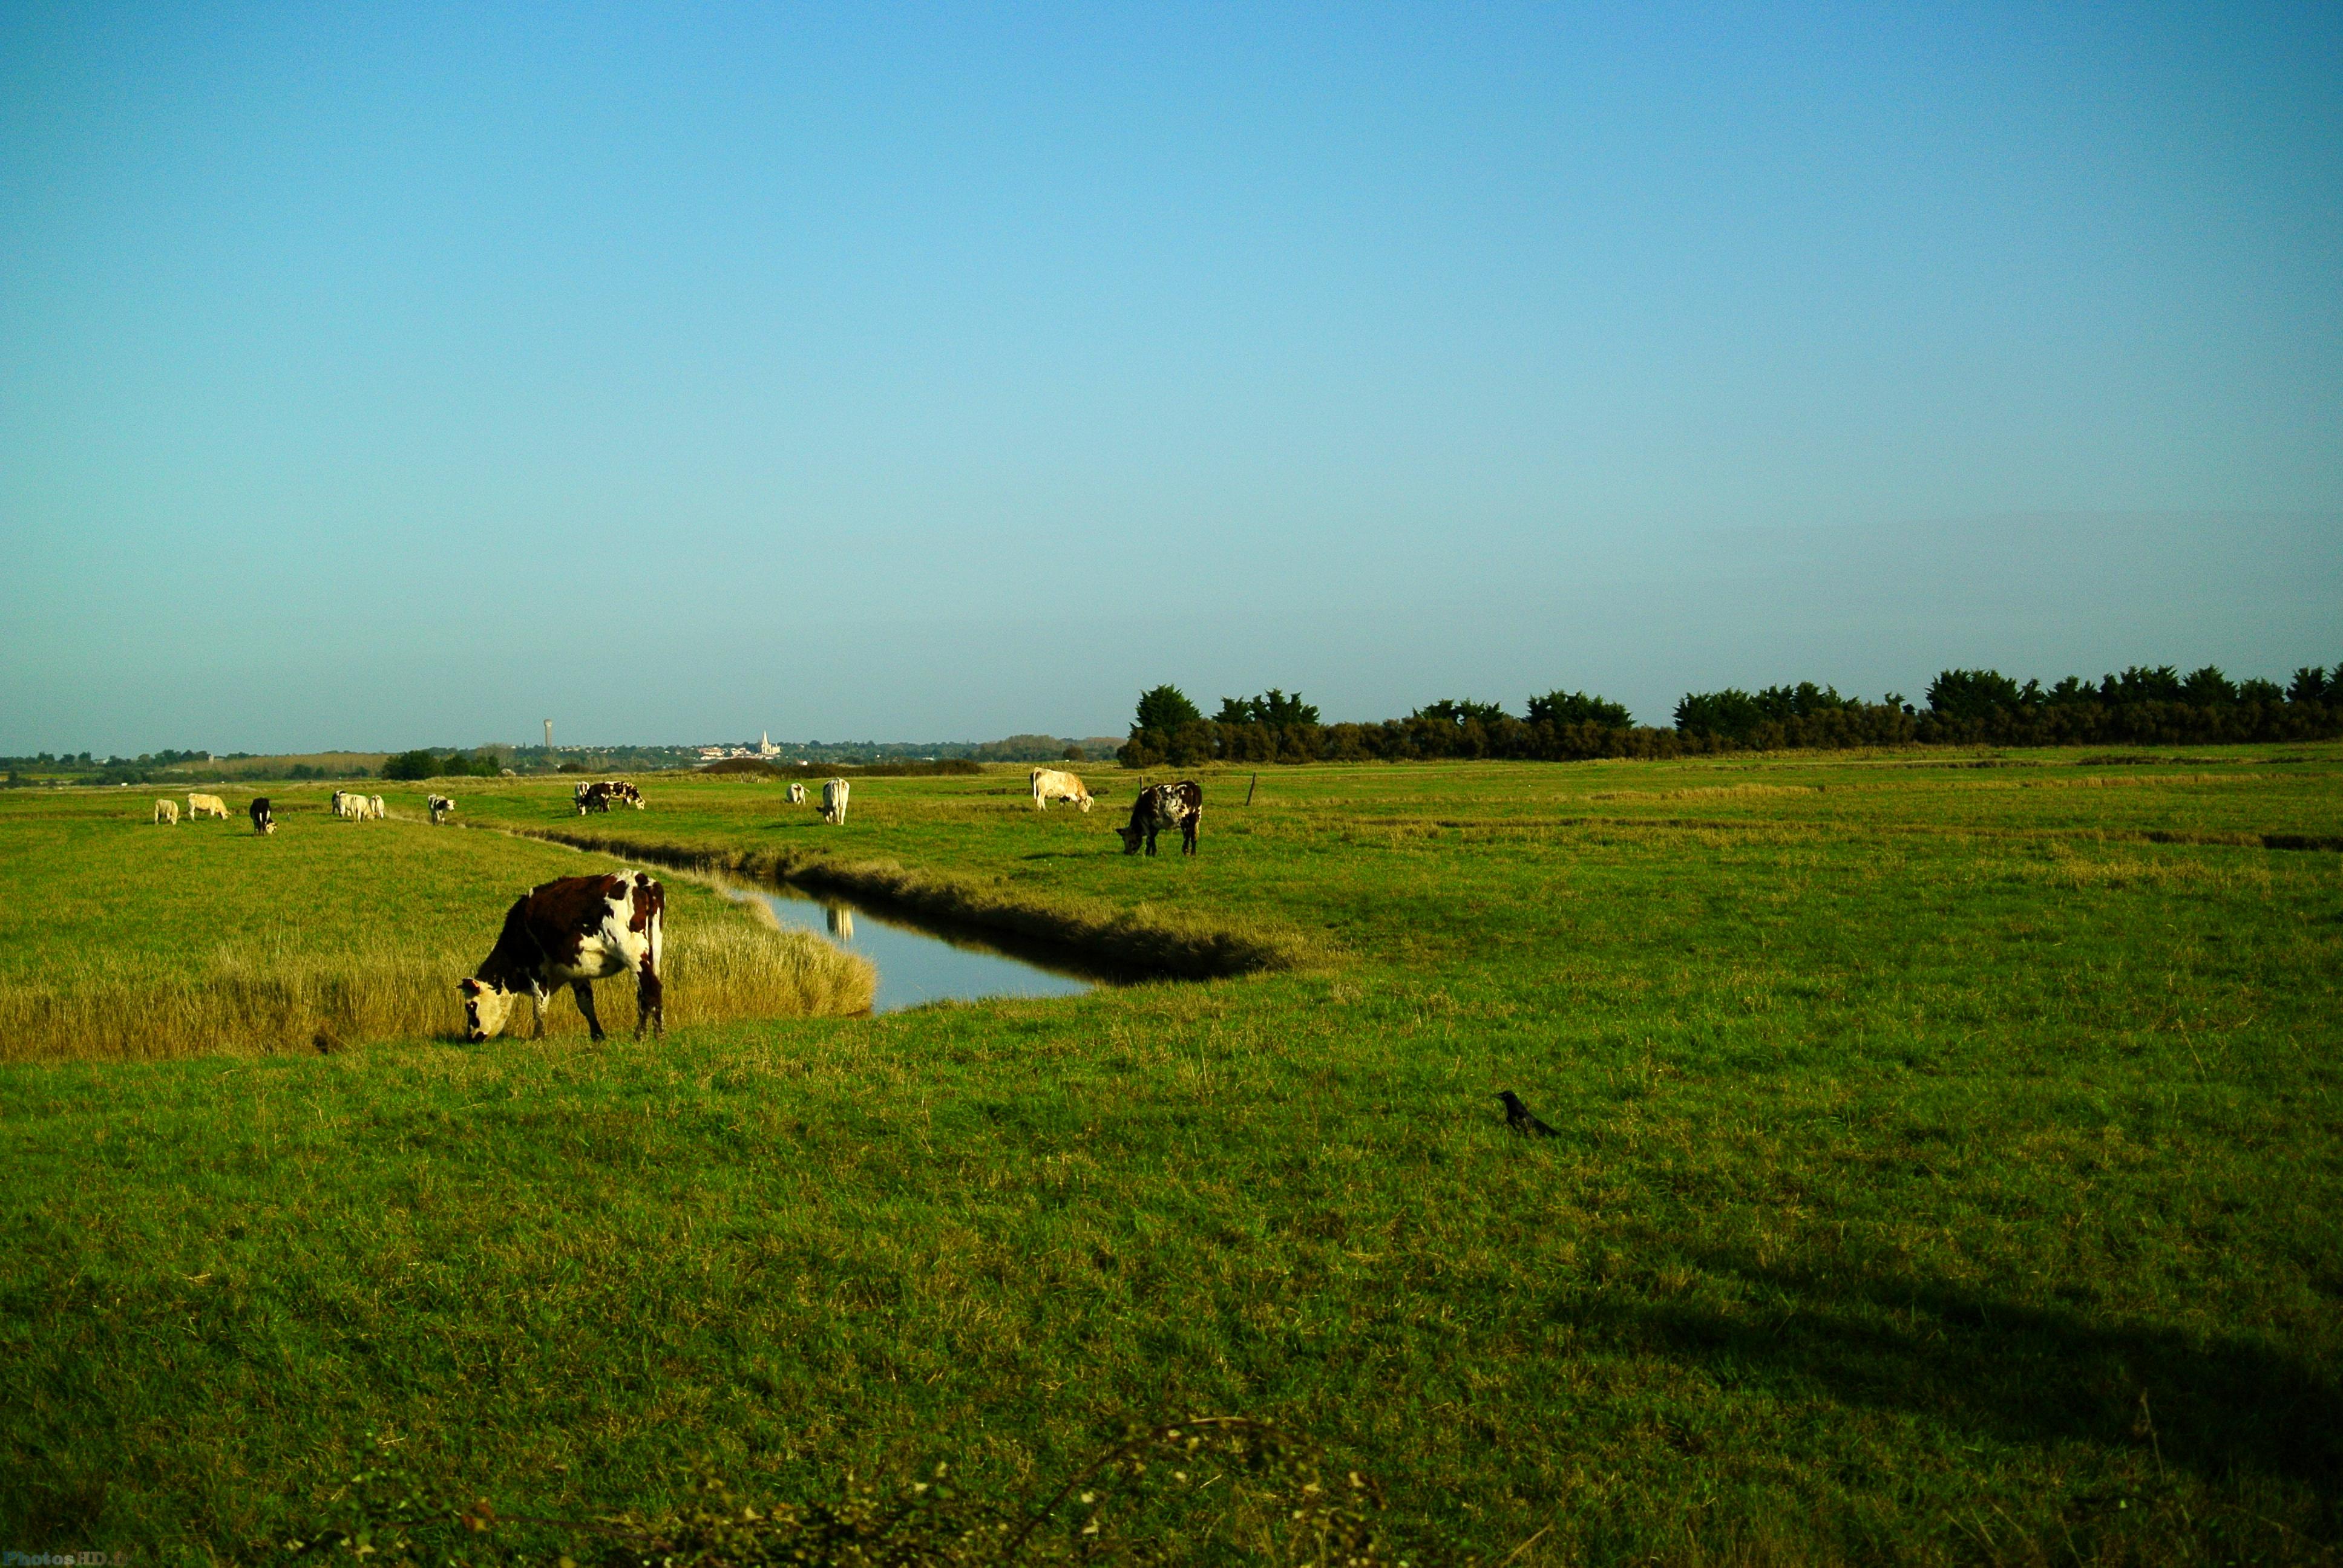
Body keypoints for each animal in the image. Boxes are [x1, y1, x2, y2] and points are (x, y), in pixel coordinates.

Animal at [457, 867, 665, 1040]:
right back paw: (652, 1033)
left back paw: (648, 1036)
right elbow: (586, 1004)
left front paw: (537, 1038)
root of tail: (638, 878)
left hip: (632, 953)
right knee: (646, 993)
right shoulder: (576, 971)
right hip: (654, 951)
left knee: (650, 988)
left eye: (471, 1006)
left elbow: (540, 1004)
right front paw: (597, 1036)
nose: (471, 1037)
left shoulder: (536, 967)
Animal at [1110, 778, 1199, 858]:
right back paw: (1193, 854)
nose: (1126, 852)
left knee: (1187, 833)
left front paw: (1152, 853)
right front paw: (1149, 853)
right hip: (1196, 817)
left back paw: (1185, 851)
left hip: (1183, 819)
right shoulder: (1155, 824)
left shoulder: (1148, 823)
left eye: (1123, 838)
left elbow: (1150, 838)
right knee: (1194, 835)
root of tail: (1191, 785)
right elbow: (1150, 839)